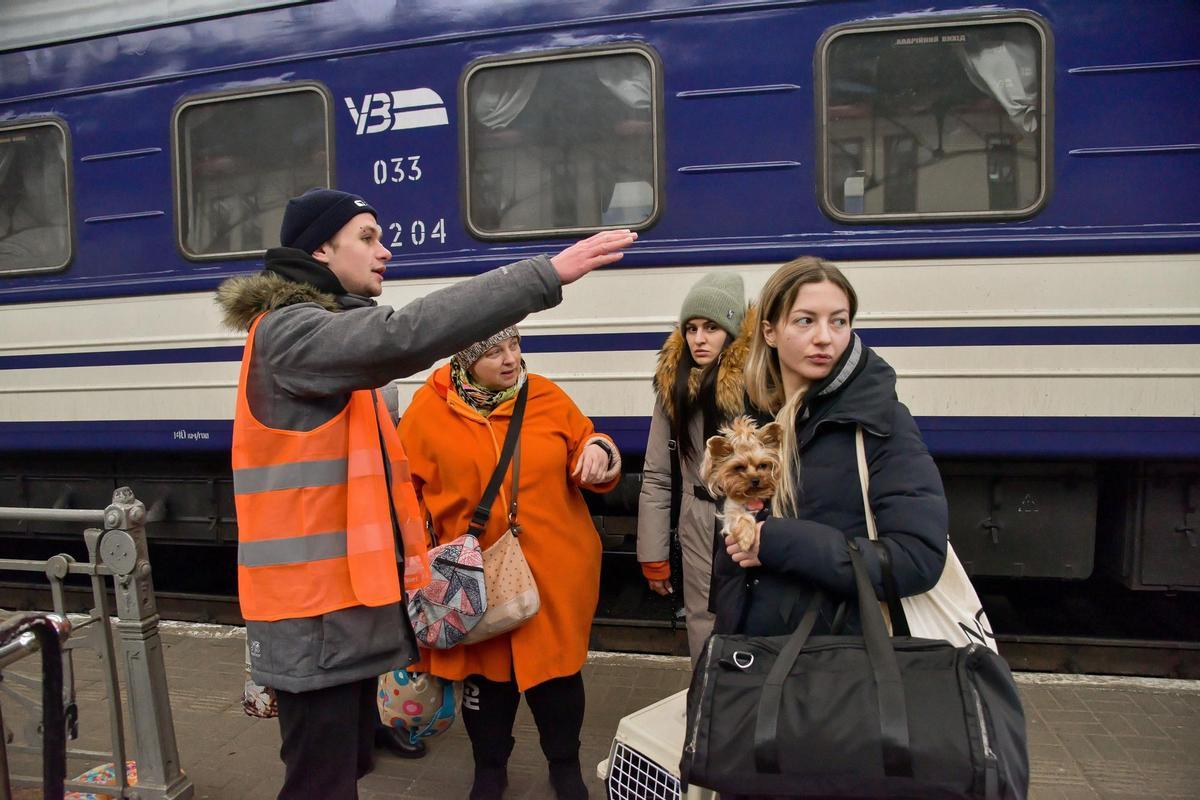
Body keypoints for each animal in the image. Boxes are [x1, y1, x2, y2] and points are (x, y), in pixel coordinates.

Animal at [700, 417, 782, 554]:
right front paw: (745, 540)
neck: (751, 498)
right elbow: (743, 516)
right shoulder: (730, 515)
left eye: (762, 465)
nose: (755, 480)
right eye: (738, 468)